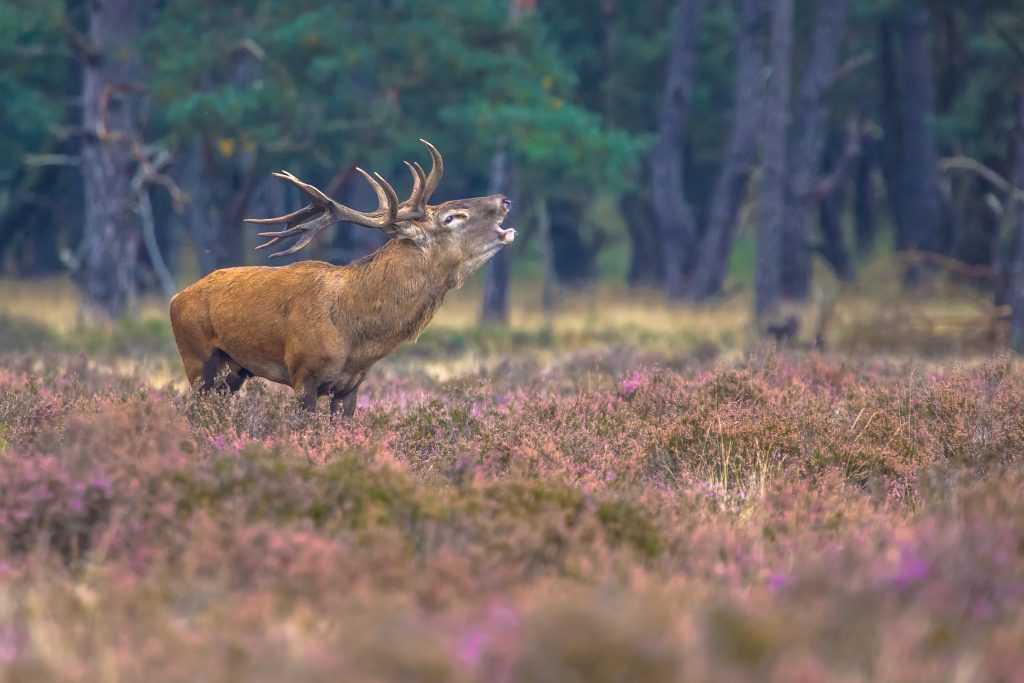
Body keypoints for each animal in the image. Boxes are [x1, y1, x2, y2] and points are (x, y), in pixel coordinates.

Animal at [171, 139, 516, 417]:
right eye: (452, 217)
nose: (505, 200)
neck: (357, 334)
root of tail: (176, 298)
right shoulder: (303, 374)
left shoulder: (351, 385)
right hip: (197, 359)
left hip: (234, 370)